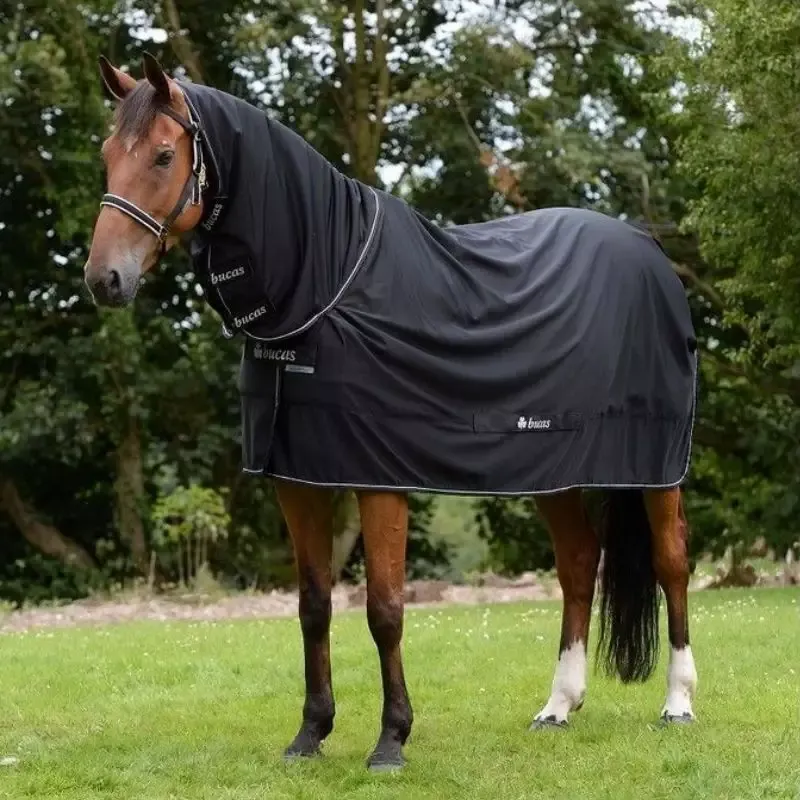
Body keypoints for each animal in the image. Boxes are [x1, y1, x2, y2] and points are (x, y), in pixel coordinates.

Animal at [84, 53, 699, 772]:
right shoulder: (298, 478)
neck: (326, 283)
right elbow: (314, 606)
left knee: (671, 562)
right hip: (553, 468)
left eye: (161, 155)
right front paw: (310, 734)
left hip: (656, 468)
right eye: (106, 155)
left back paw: (678, 703)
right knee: (577, 563)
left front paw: (391, 740)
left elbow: (384, 608)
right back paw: (557, 706)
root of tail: (647, 251)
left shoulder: (378, 477)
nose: (104, 279)